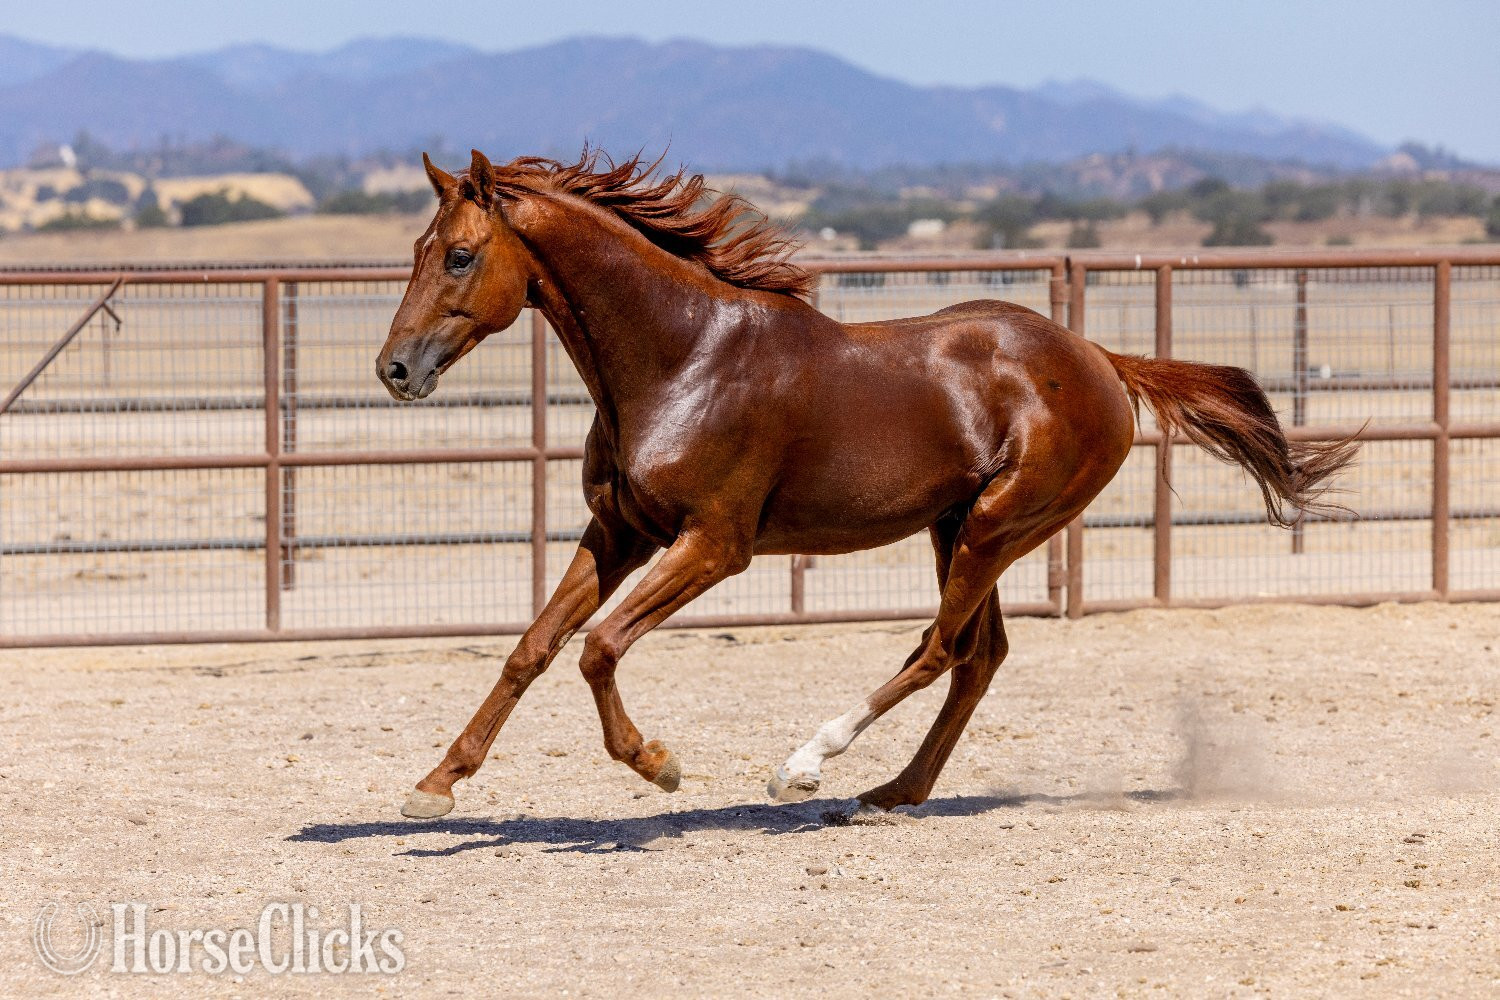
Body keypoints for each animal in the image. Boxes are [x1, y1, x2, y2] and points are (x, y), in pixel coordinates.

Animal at [376, 148, 1357, 820]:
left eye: (458, 256)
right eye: (418, 247)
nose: (395, 369)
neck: (682, 357)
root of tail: (1101, 360)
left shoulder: (715, 546)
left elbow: (599, 646)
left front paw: (658, 762)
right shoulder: (619, 533)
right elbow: (532, 648)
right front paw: (435, 784)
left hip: (998, 525)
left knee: (940, 649)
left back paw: (806, 765)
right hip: (956, 526)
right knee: (979, 657)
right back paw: (893, 791)